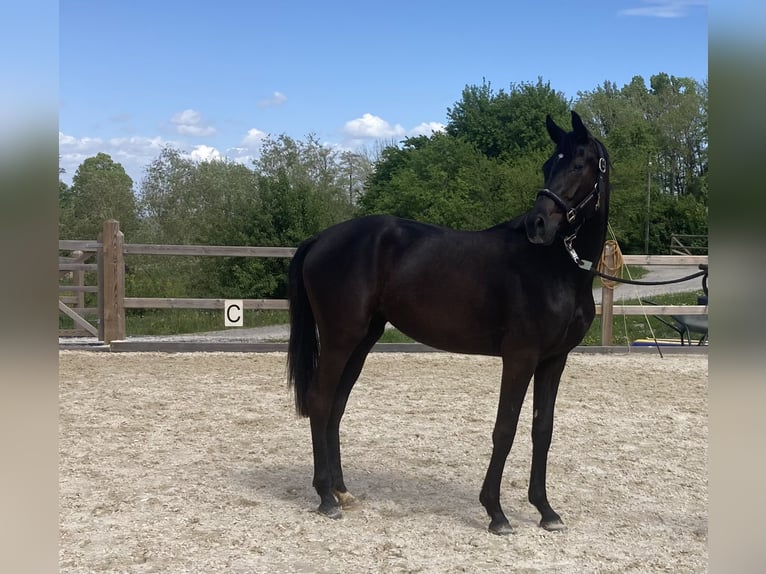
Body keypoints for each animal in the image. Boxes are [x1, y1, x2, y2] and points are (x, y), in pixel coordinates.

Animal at [288, 111, 612, 536]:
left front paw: (546, 510)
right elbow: (505, 429)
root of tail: (321, 239)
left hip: (361, 342)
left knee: (336, 406)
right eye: (548, 165)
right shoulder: (520, 357)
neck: (557, 269)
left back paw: (341, 491)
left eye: (576, 164)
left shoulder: (554, 360)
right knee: (320, 400)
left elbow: (542, 430)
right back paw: (326, 497)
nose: (538, 224)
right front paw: (496, 513)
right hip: (340, 339)